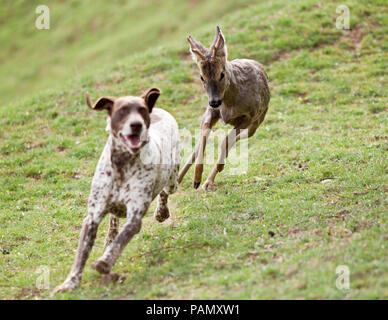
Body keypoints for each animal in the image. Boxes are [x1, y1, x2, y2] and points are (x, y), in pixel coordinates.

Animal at [52, 88, 181, 296]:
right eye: (122, 111)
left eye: (142, 110)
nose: (136, 125)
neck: (122, 164)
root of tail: (159, 109)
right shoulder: (92, 217)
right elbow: (81, 255)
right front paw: (70, 283)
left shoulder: (135, 217)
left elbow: (120, 241)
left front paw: (104, 262)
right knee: (113, 218)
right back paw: (110, 236)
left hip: (172, 179)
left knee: (165, 191)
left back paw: (161, 212)